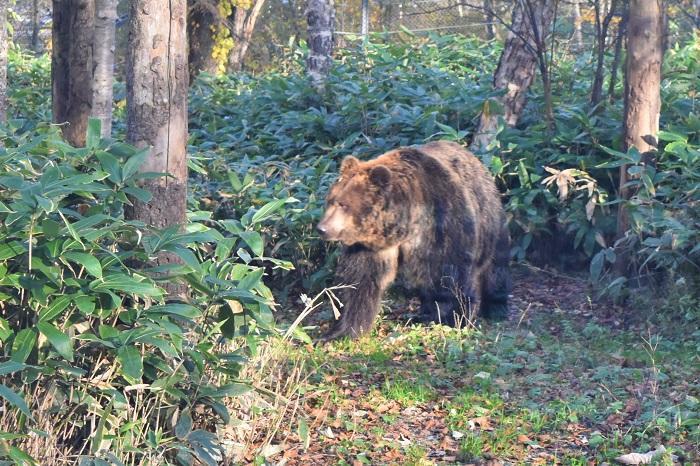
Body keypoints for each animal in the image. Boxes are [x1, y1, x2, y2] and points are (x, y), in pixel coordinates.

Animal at [318, 140, 508, 340]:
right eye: (330, 200)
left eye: (343, 204)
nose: (322, 228)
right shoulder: (370, 246)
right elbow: (359, 283)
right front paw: (340, 332)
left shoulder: (444, 224)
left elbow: (452, 275)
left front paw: (455, 318)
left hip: (489, 217)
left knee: (495, 266)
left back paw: (496, 306)